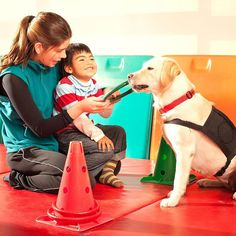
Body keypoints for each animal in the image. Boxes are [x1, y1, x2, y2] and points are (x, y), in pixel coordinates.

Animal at [129, 56, 236, 206]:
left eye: (150, 68)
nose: (129, 76)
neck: (177, 101)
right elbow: (181, 177)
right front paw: (178, 194)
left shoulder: (184, 151)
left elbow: (178, 178)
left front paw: (173, 200)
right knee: (227, 185)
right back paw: (207, 182)